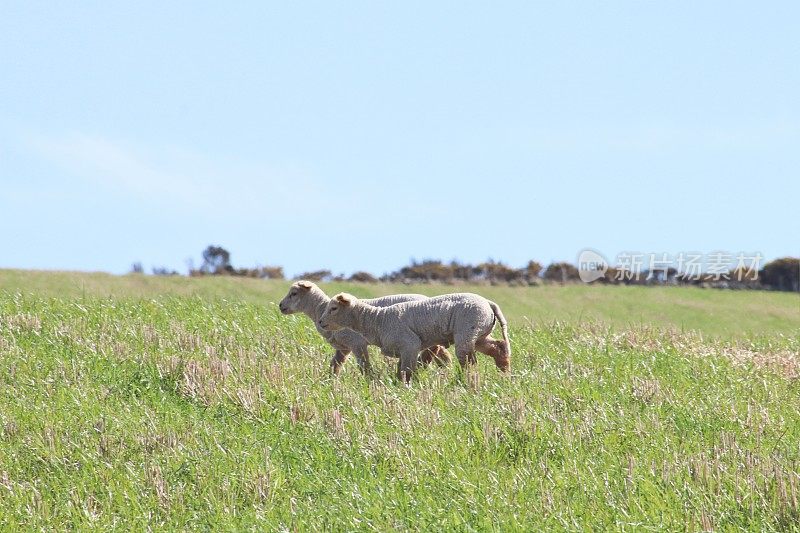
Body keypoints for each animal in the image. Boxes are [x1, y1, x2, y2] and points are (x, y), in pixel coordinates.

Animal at [276, 278, 450, 374]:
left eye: (294, 293)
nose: (280, 306)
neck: (321, 309)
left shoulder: (356, 342)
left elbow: (364, 366)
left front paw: (369, 380)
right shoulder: (343, 347)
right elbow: (335, 365)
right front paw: (329, 382)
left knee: (435, 348)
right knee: (440, 350)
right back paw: (444, 368)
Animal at [318, 290, 510, 382]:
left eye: (334, 308)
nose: (320, 322)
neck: (377, 320)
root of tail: (489, 303)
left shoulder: (410, 345)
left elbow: (407, 371)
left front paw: (407, 388)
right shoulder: (404, 350)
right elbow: (402, 371)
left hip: (468, 331)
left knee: (469, 361)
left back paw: (465, 382)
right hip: (480, 334)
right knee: (498, 348)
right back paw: (505, 374)